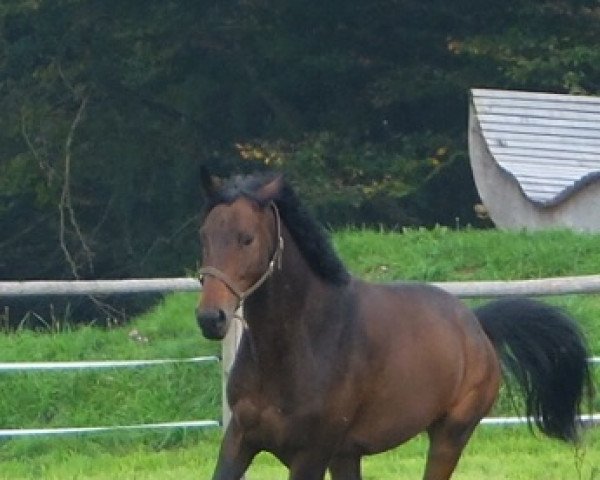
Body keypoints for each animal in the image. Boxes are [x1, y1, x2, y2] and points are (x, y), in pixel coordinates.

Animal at [196, 171, 592, 478]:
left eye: (247, 238)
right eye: (204, 235)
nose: (210, 318)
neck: (297, 344)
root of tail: (477, 326)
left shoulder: (310, 453)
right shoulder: (240, 439)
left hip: (450, 436)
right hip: (347, 455)